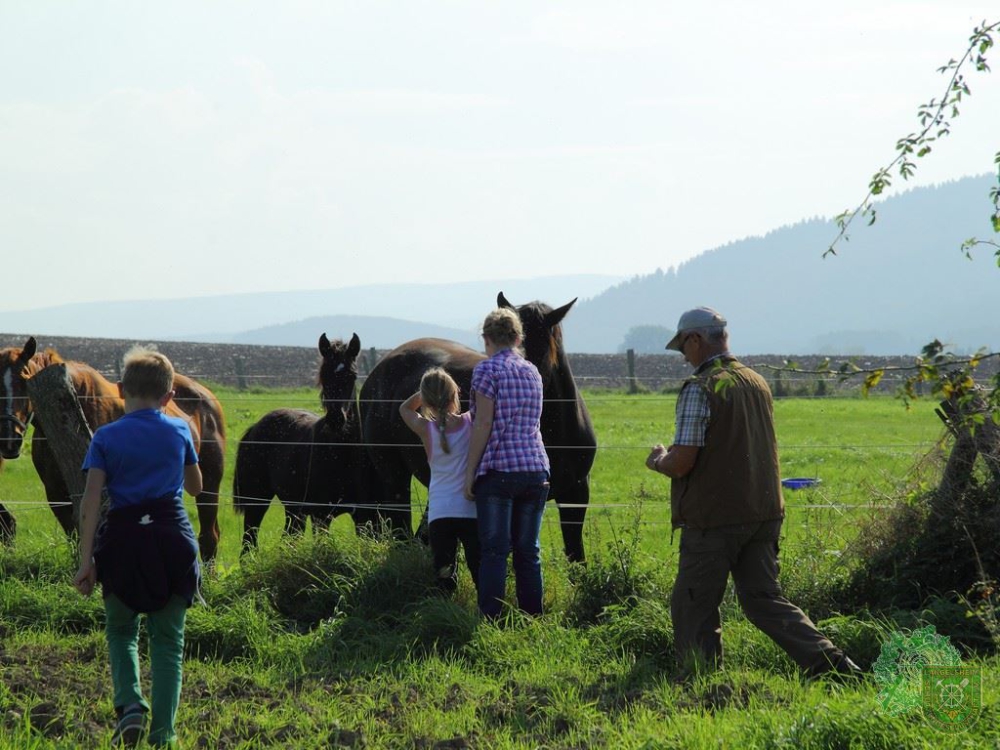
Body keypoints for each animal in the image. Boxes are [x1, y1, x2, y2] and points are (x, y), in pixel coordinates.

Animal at [0, 340, 227, 564]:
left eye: (24, 381)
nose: (9, 439)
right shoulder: (57, 494)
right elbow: (76, 539)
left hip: (209, 482)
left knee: (209, 536)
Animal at [232, 334, 376, 552]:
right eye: (323, 375)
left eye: (352, 376)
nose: (336, 419)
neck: (342, 455)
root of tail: (256, 426)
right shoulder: (321, 516)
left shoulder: (361, 515)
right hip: (258, 501)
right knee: (249, 541)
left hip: (293, 508)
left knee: (288, 537)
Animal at [358, 294, 592, 564]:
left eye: (540, 346)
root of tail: (379, 369)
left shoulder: (576, 495)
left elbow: (576, 556)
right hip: (393, 475)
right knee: (400, 530)